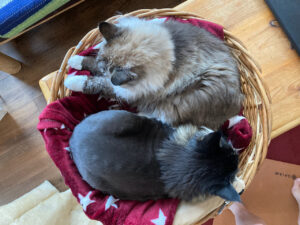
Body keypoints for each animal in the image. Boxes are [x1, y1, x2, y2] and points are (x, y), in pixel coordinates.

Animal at [65, 16, 244, 129]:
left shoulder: (124, 89)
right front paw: (74, 60)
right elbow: (92, 63)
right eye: (103, 66)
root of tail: (239, 103)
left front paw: (71, 80)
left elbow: (96, 83)